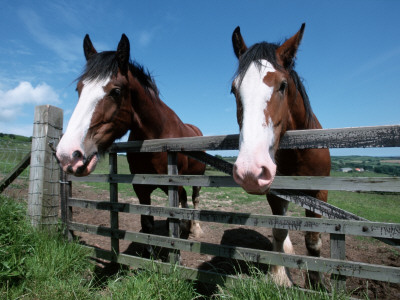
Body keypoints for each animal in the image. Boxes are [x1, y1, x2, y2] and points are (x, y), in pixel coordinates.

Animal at [55, 32, 205, 238]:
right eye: (79, 89)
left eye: (116, 91)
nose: (68, 154)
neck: (156, 140)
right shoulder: (141, 189)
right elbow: (147, 224)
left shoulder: (173, 184)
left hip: (198, 176)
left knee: (195, 197)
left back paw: (195, 228)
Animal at [231, 22, 332, 286]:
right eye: (234, 89)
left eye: (283, 85)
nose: (250, 171)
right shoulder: (274, 192)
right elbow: (278, 230)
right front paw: (279, 277)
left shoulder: (319, 193)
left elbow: (313, 241)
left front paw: (315, 284)